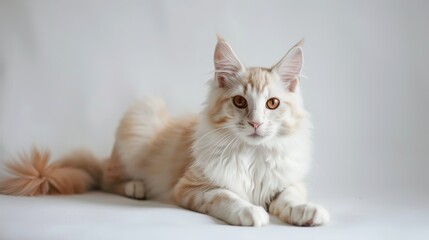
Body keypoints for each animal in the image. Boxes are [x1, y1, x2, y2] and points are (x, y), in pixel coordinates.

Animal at [0, 35, 328, 227]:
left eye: (272, 104)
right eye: (239, 102)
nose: (256, 123)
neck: (253, 154)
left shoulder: (289, 181)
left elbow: (289, 198)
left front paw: (308, 212)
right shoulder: (191, 188)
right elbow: (227, 197)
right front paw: (251, 212)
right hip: (141, 115)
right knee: (106, 179)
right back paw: (135, 188)